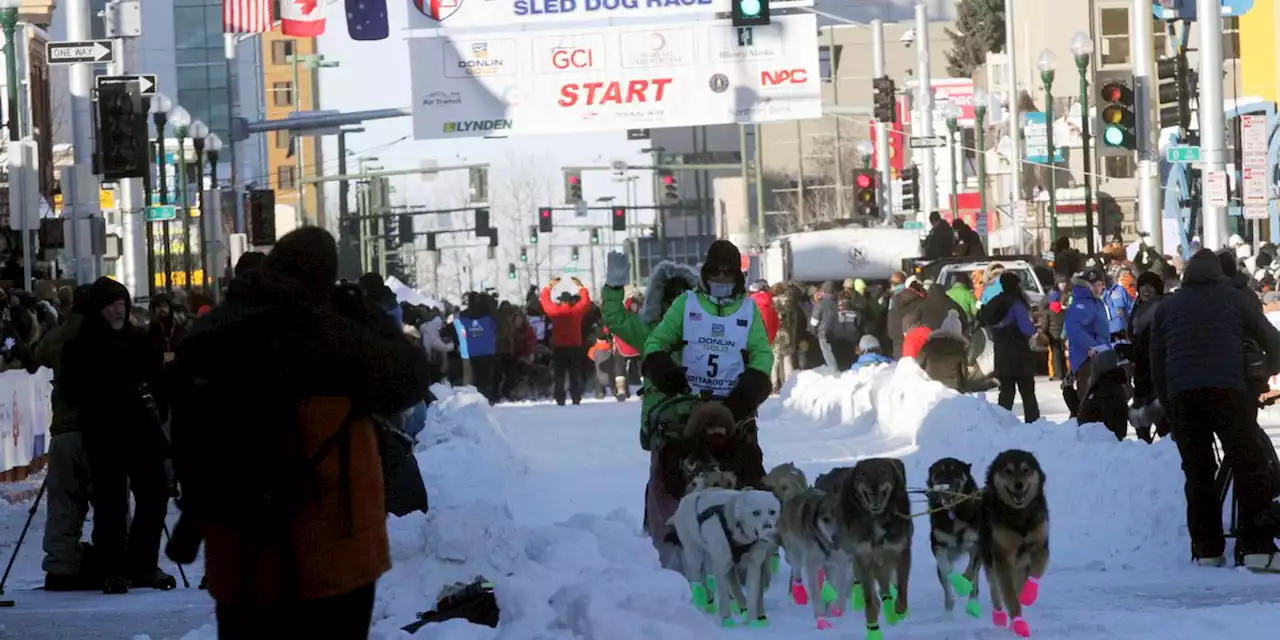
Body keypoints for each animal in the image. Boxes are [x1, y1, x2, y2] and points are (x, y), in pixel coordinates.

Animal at [670, 488, 778, 624]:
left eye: (772, 512)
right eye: (756, 512)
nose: (768, 527)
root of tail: (685, 499)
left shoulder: (754, 566)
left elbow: (752, 594)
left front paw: (753, 621)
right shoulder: (720, 566)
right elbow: (723, 596)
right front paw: (727, 621)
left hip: (714, 557)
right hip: (695, 553)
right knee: (697, 576)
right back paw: (700, 600)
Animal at [839, 458, 911, 632]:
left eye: (883, 471)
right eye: (862, 473)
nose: (874, 486)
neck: (877, 518)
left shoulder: (901, 552)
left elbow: (902, 586)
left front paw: (900, 609)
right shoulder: (863, 557)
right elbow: (868, 595)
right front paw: (872, 618)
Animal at [926, 458, 983, 611]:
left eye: (955, 471)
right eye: (938, 473)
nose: (944, 487)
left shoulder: (977, 544)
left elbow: (971, 570)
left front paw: (964, 580)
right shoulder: (938, 544)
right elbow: (945, 568)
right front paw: (955, 578)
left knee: (975, 583)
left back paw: (973, 605)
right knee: (947, 588)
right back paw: (948, 608)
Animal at [977, 448, 1049, 637]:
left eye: (1025, 470)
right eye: (1008, 471)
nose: (1019, 485)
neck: (1019, 515)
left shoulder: (1040, 544)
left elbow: (1037, 570)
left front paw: (1028, 595)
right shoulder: (1002, 556)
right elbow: (1008, 594)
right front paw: (1018, 622)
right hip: (989, 557)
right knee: (995, 589)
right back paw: (1000, 616)